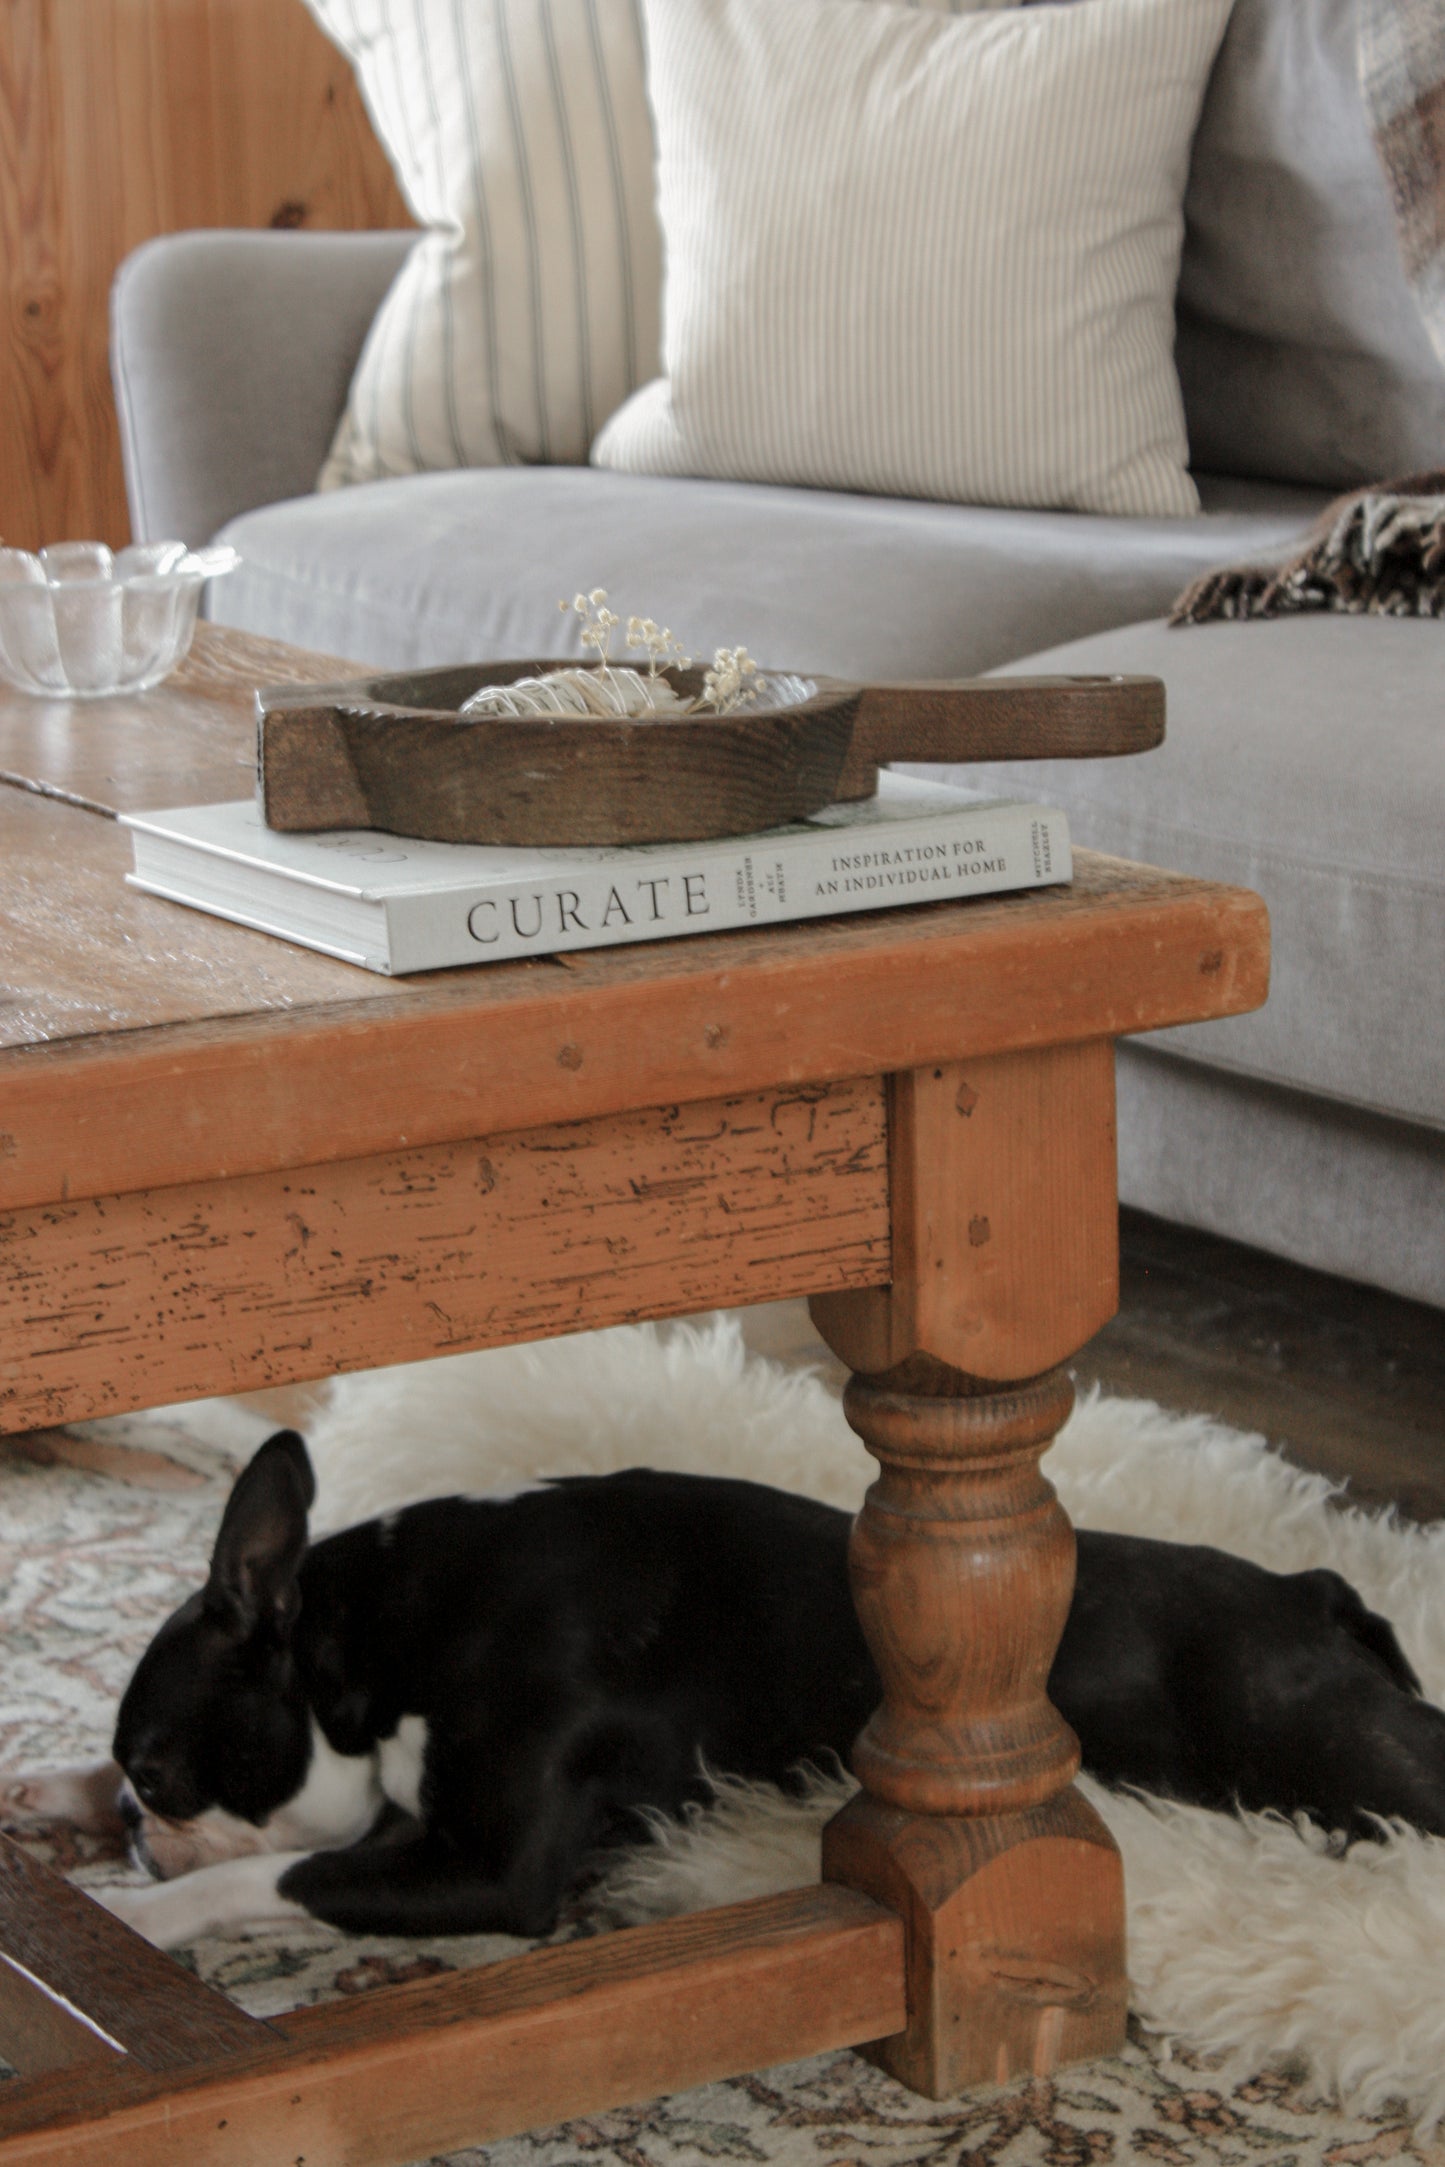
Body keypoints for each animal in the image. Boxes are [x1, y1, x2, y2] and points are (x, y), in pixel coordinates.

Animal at [76, 1430, 1445, 1958]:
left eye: (159, 1772)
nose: (133, 1825)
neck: (377, 1637)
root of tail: (1311, 1585)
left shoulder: (490, 1867)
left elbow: (277, 1871)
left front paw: (137, 1917)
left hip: (1331, 1750)